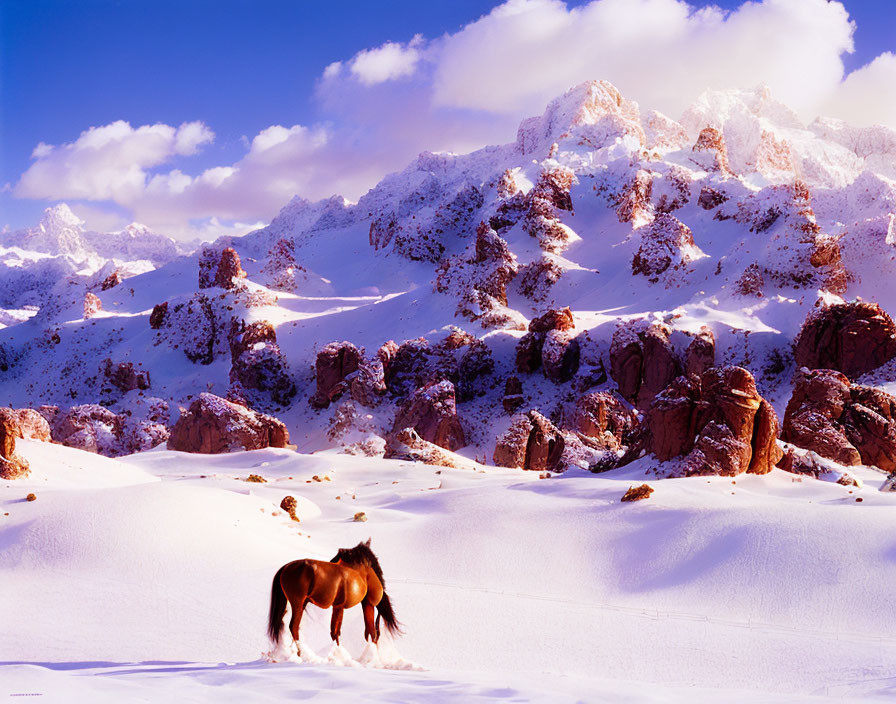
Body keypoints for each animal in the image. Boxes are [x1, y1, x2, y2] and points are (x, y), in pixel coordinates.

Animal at [266, 540, 402, 652]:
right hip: (298, 604)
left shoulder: (340, 606)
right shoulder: (356, 604)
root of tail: (285, 568)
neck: (362, 573)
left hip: (300, 604)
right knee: (293, 627)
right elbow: (342, 632)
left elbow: (340, 632)